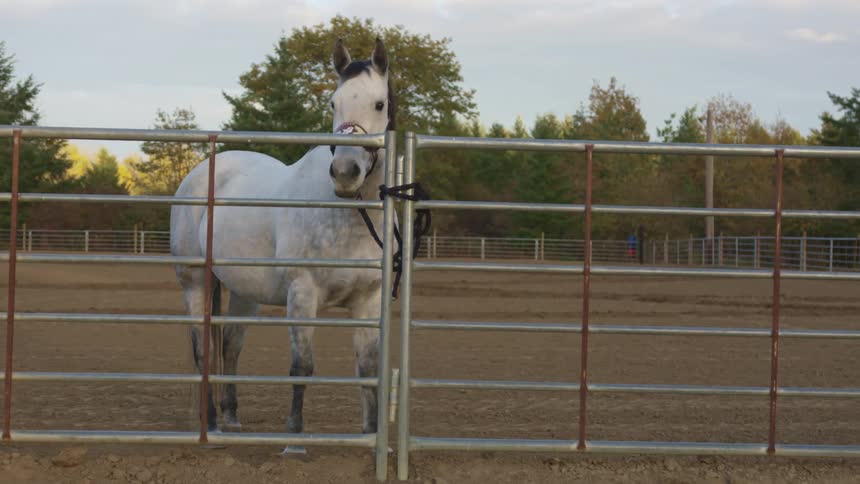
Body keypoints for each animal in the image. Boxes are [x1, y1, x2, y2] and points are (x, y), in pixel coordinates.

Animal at [170, 38, 395, 454]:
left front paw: (373, 437)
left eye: (379, 104)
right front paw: (294, 441)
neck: (348, 217)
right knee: (203, 349)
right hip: (195, 281)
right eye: (333, 103)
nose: (345, 173)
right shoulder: (302, 294)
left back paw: (231, 418)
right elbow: (302, 366)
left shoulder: (368, 299)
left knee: (229, 345)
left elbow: (368, 368)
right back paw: (211, 426)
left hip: (244, 293)